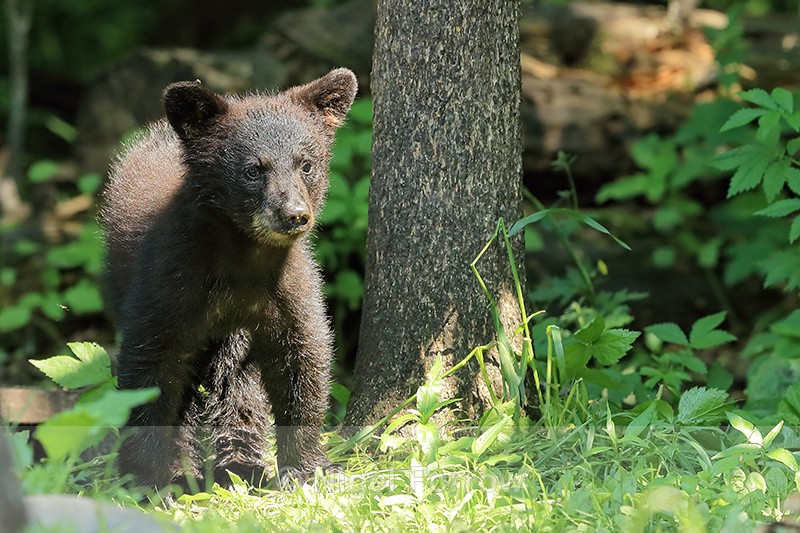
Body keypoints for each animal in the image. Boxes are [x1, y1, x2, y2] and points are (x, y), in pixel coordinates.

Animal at [100, 68, 358, 489]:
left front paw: (307, 467)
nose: (294, 214)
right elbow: (150, 367)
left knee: (237, 387)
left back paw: (240, 463)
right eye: (253, 169)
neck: (245, 259)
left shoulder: (289, 289)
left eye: (306, 164)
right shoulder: (170, 280)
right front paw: (148, 477)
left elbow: (302, 364)